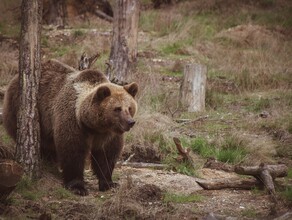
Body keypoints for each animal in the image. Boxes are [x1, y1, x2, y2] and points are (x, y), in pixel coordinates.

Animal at [3, 60, 138, 196]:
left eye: (129, 107)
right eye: (117, 109)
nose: (130, 122)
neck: (94, 126)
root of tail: (14, 78)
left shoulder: (108, 134)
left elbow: (106, 155)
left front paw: (109, 183)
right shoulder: (73, 121)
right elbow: (72, 150)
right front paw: (78, 187)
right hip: (23, 109)